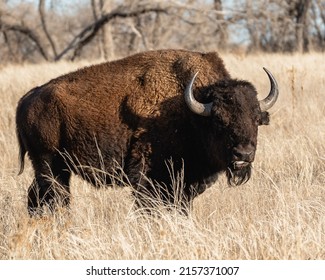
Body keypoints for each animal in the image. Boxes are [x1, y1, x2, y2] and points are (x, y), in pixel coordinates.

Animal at [16, 49, 278, 214]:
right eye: (219, 121)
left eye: (256, 119)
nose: (243, 154)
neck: (190, 113)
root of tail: (28, 98)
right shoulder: (147, 180)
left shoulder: (183, 186)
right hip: (48, 163)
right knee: (55, 198)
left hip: (57, 168)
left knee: (37, 198)